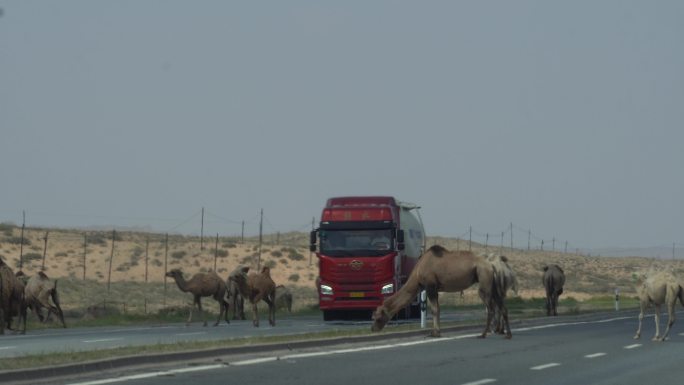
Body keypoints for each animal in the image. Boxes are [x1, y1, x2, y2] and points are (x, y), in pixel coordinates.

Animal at [368, 244, 508, 338]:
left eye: (378, 318)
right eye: (373, 317)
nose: (372, 328)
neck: (418, 272)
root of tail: (491, 265)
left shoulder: (430, 286)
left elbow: (434, 309)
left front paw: (435, 333)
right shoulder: (433, 288)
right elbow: (437, 309)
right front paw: (436, 331)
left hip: (484, 279)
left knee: (490, 307)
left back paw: (485, 333)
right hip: (492, 283)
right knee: (498, 304)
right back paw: (498, 330)